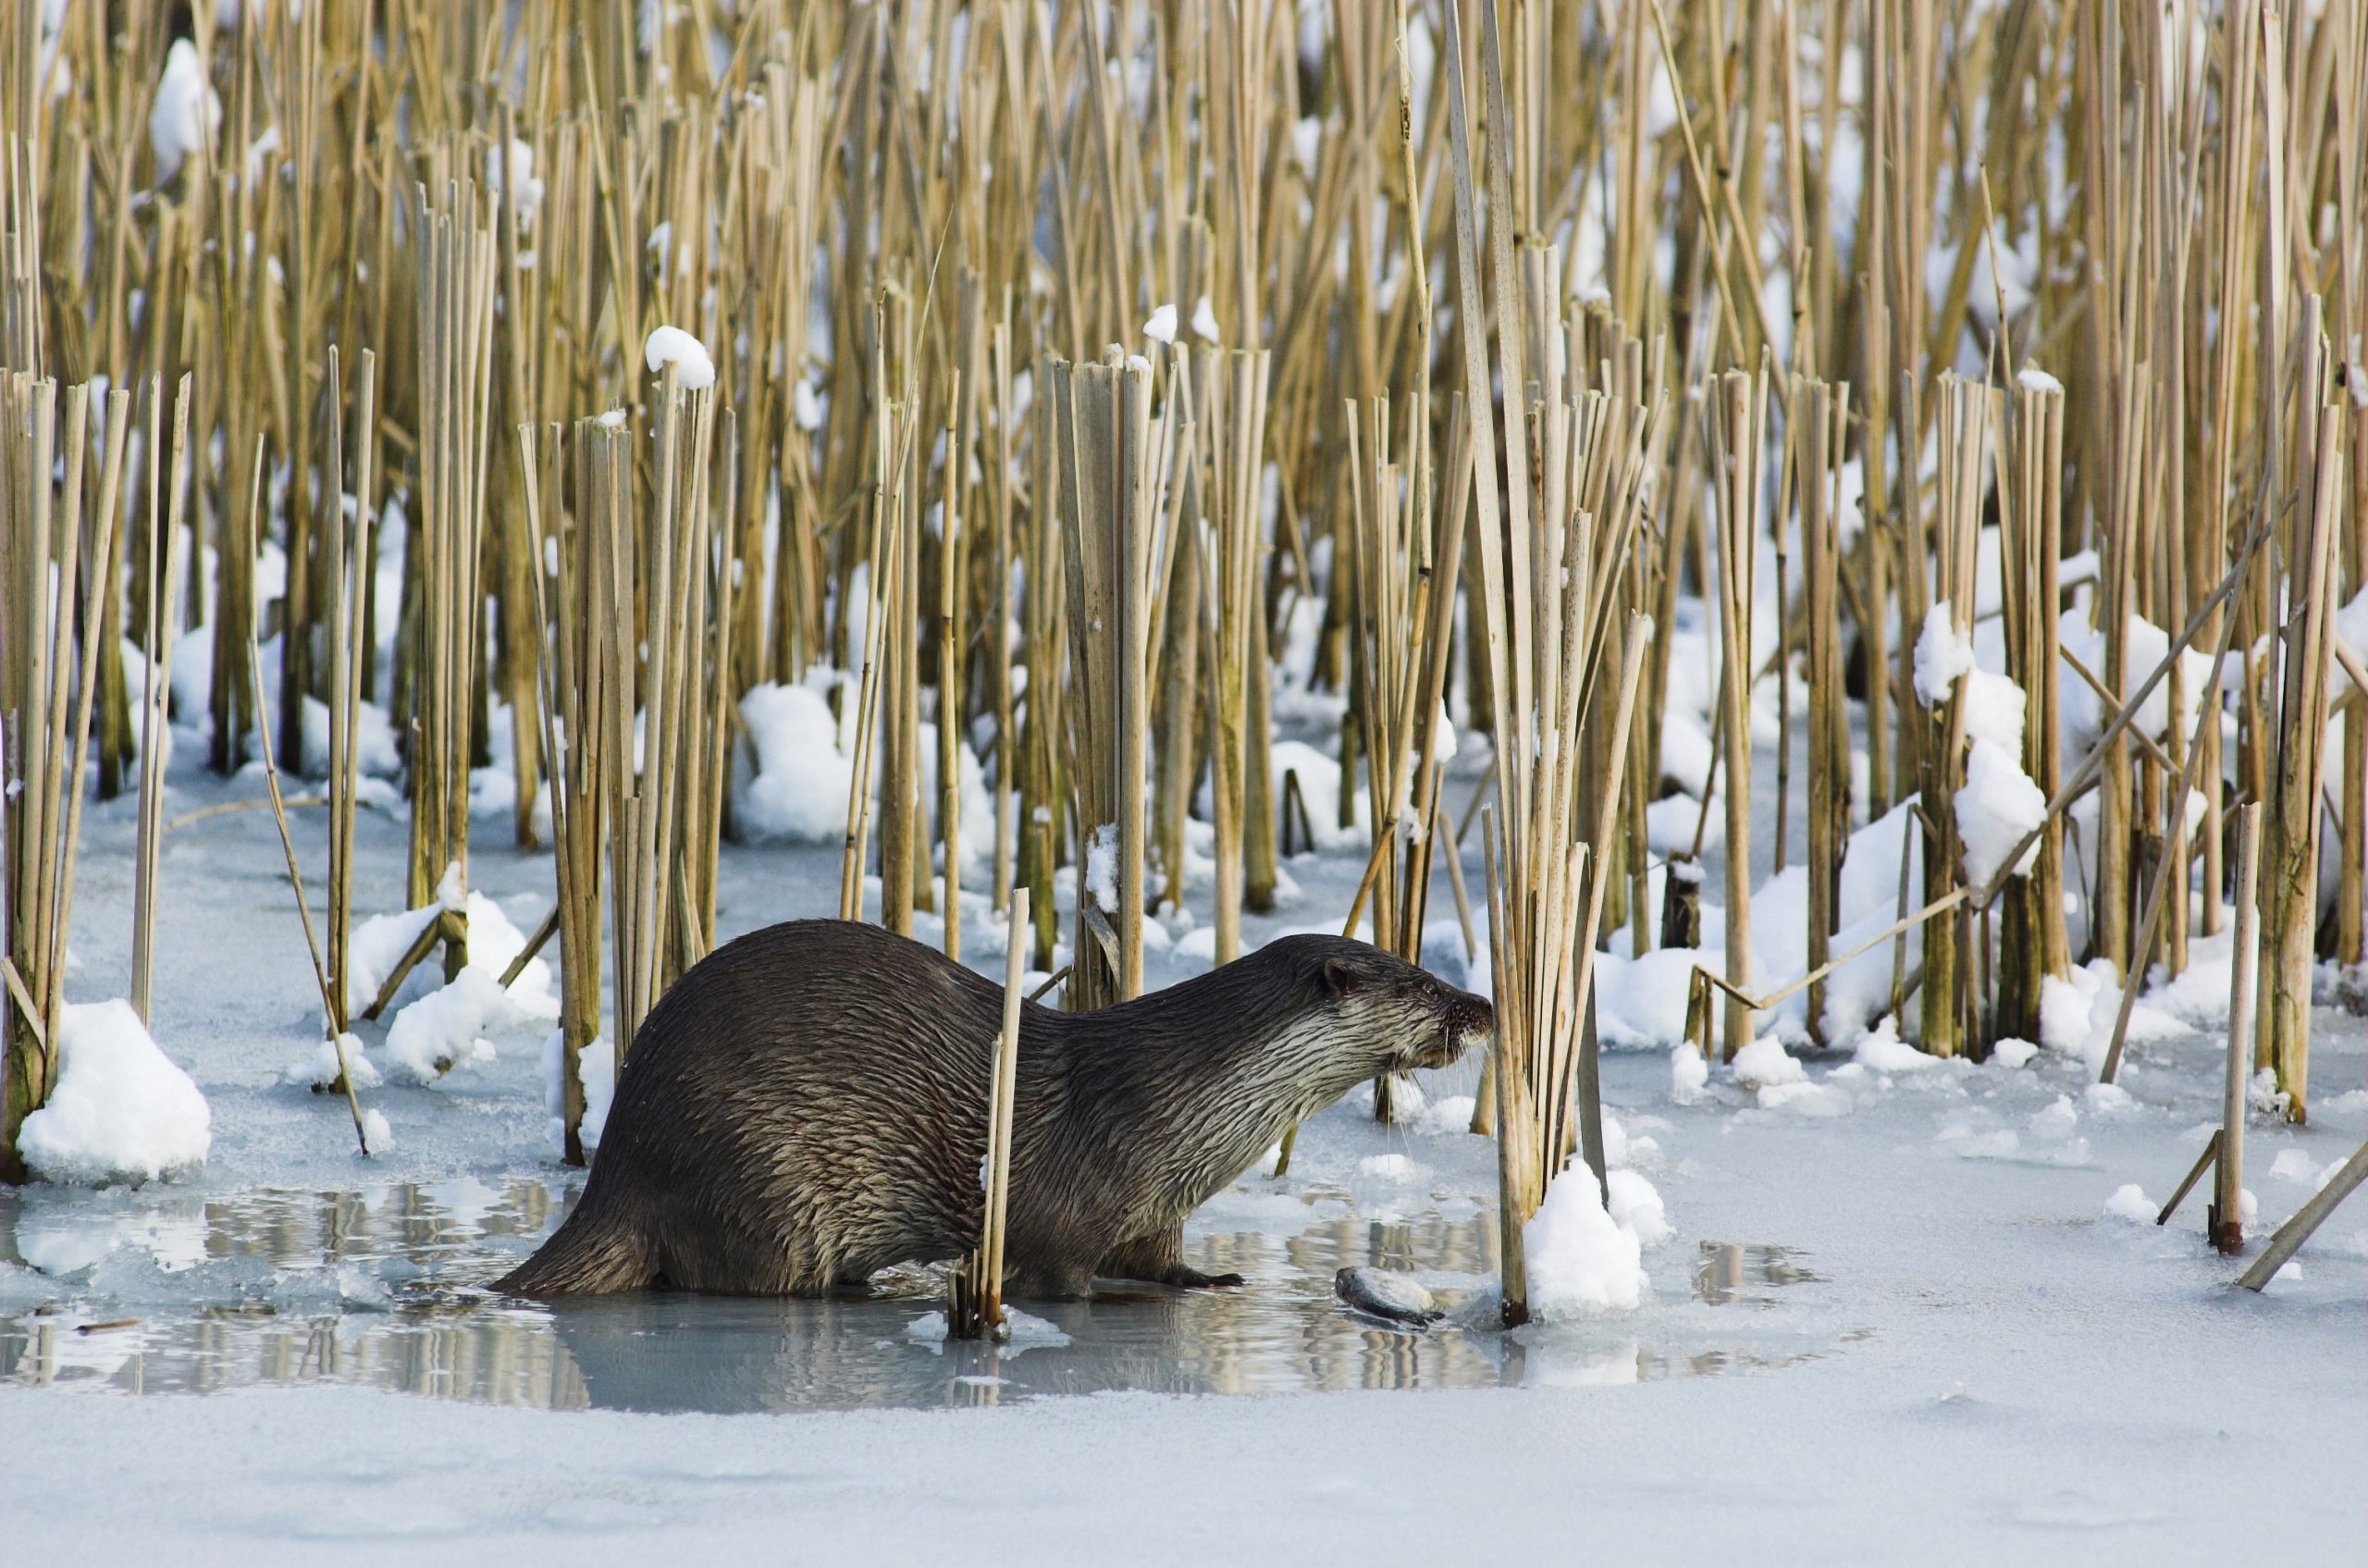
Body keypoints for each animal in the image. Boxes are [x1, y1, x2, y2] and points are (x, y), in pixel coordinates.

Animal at [492, 923, 1486, 1298]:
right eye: (1424, 985)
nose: (1482, 1005)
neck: (1182, 1106)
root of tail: (617, 1170)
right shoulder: (1073, 1197)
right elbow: (1061, 1273)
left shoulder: (1159, 1206)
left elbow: (1161, 1262)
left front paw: (1209, 1278)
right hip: (755, 1173)